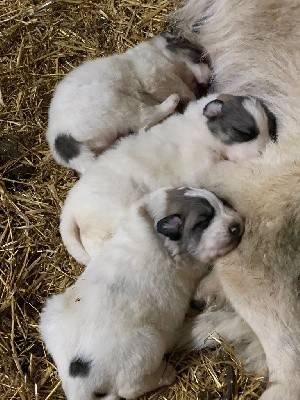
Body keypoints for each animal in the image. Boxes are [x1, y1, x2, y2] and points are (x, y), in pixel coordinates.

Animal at [38, 188, 244, 400]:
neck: (154, 224)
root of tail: (76, 378)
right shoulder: (197, 266)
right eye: (203, 221)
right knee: (130, 388)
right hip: (148, 345)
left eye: (223, 203)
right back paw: (166, 374)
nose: (237, 224)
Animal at [46, 33, 211, 173]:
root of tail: (61, 138)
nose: (209, 80)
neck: (162, 53)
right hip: (121, 104)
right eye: (201, 58)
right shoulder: (156, 76)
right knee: (144, 120)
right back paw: (172, 101)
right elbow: (182, 89)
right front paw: (192, 97)